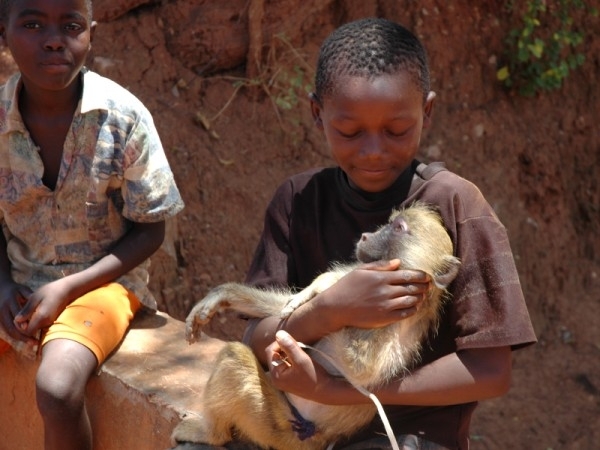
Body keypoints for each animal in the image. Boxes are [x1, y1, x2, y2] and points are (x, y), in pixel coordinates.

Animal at [171, 203, 462, 450]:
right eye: (389, 224)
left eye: (398, 228)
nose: (366, 236)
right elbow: (288, 308)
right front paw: (224, 296)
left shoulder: (397, 313)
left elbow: (359, 367)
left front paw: (335, 287)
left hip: (281, 428)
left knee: (234, 356)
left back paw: (211, 434)